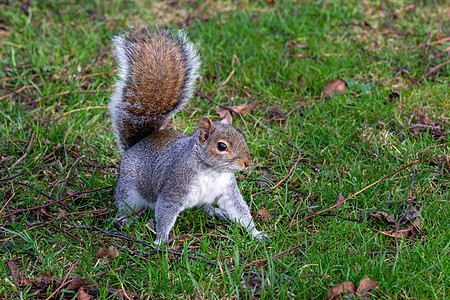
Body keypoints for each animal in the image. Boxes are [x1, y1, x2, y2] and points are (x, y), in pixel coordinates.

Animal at [109, 25, 268, 245]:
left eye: (242, 137)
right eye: (221, 146)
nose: (247, 162)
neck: (211, 171)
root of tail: (136, 145)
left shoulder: (227, 190)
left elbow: (240, 211)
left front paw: (256, 233)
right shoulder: (174, 188)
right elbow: (165, 214)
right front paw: (160, 241)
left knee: (204, 207)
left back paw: (217, 212)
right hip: (129, 189)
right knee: (127, 205)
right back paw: (125, 220)